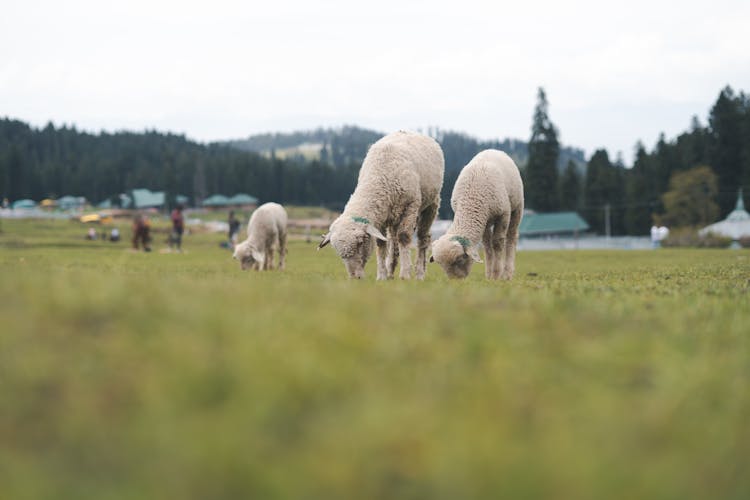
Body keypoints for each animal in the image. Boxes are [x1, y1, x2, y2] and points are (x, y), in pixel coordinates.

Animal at [318, 131, 446, 280]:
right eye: (338, 252)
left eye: (361, 242)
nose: (355, 278)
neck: (379, 177)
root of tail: (409, 131)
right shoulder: (380, 215)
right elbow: (381, 243)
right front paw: (382, 276)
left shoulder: (410, 206)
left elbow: (404, 237)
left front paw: (405, 274)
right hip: (393, 214)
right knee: (393, 240)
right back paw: (390, 270)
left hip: (431, 204)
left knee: (422, 237)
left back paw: (419, 273)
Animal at [432, 148, 524, 282]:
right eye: (440, 265)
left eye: (460, 260)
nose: (456, 282)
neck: (472, 199)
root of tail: (493, 149)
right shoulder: (483, 221)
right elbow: (487, 246)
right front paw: (489, 275)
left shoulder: (503, 215)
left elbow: (497, 243)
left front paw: (496, 275)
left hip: (517, 207)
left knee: (512, 237)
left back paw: (507, 274)